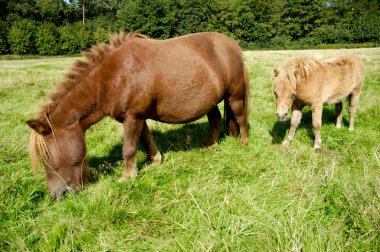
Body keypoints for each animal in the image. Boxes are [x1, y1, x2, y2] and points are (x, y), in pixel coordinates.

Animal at [24, 32, 249, 199]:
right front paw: (155, 161)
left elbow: (129, 149)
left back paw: (244, 143)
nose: (57, 195)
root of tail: (232, 44)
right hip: (210, 101)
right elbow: (146, 140)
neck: (112, 76)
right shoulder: (138, 118)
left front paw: (126, 177)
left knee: (240, 118)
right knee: (215, 120)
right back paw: (211, 145)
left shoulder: (132, 117)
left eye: (47, 156)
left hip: (234, 95)